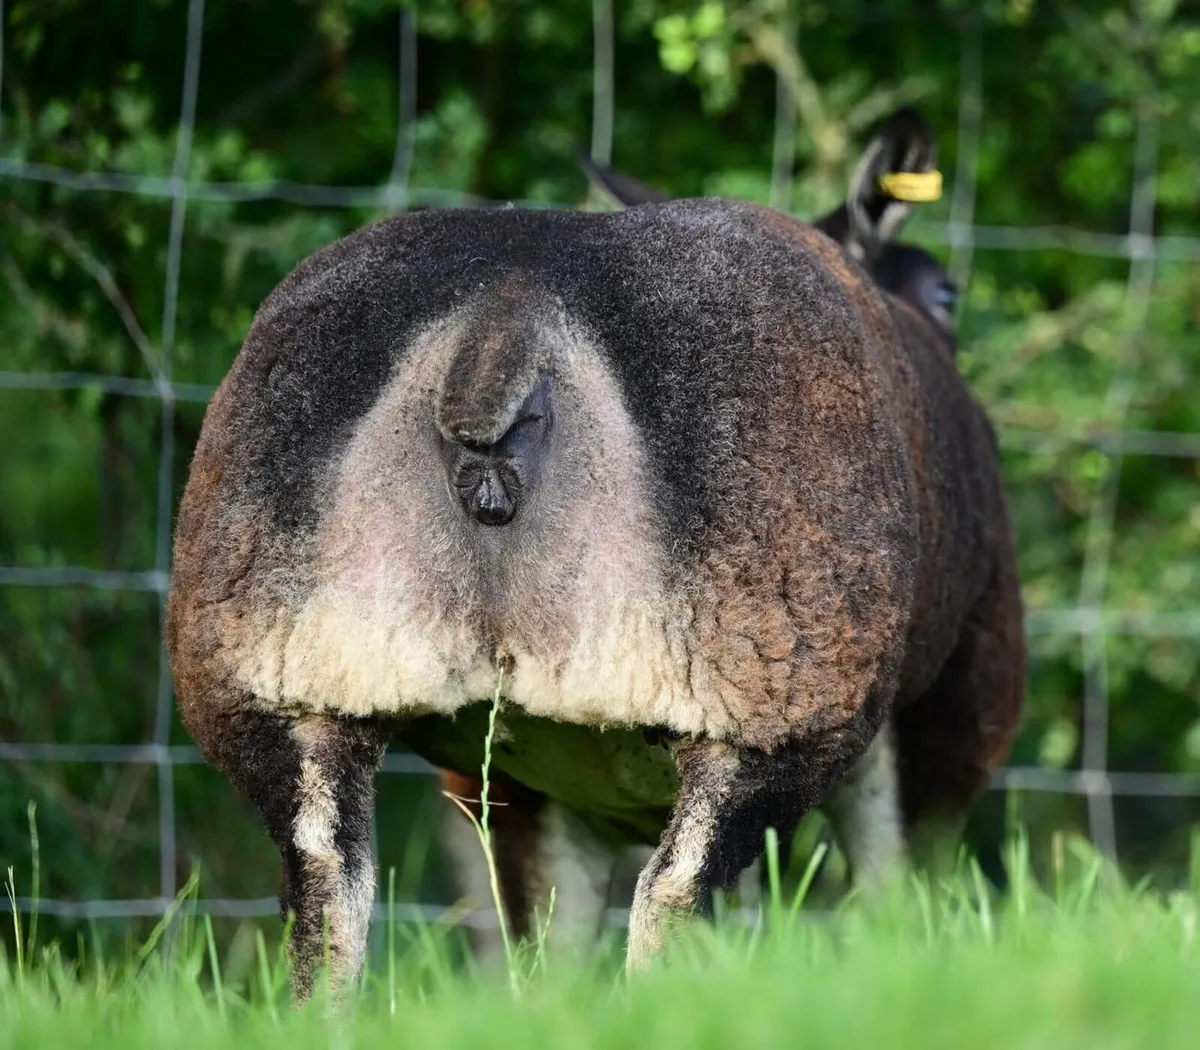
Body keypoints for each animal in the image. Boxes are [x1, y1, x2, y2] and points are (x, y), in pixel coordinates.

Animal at [165, 110, 1025, 1001]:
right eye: (945, 292)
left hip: (283, 684)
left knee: (332, 897)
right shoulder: (954, 713)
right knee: (673, 901)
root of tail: (504, 324)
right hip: (774, 686)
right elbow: (896, 910)